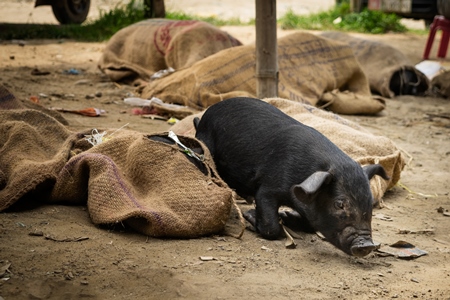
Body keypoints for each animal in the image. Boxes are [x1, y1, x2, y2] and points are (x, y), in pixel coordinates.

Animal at [195, 97, 388, 256]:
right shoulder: (268, 187)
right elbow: (271, 226)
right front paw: (250, 215)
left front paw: (286, 215)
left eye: (370, 203)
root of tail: (203, 117)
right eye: (339, 204)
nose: (368, 245)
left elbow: (309, 224)